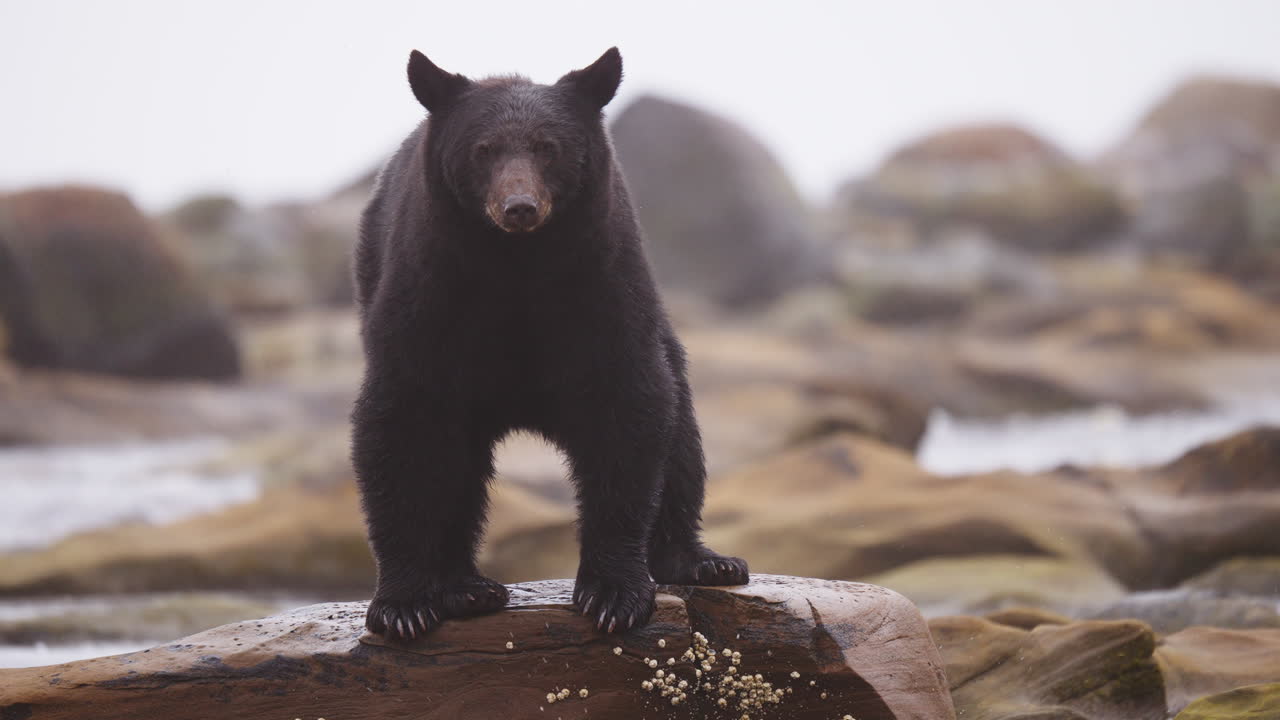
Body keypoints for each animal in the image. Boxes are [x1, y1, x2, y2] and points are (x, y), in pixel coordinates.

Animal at [351, 47, 748, 641]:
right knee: (457, 465)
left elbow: (626, 412)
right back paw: (465, 588)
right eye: (483, 149)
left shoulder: (601, 287)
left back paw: (704, 562)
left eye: (548, 147)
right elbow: (402, 424)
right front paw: (404, 604)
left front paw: (613, 594)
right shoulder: (428, 295)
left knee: (682, 439)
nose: (519, 207)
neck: (518, 267)